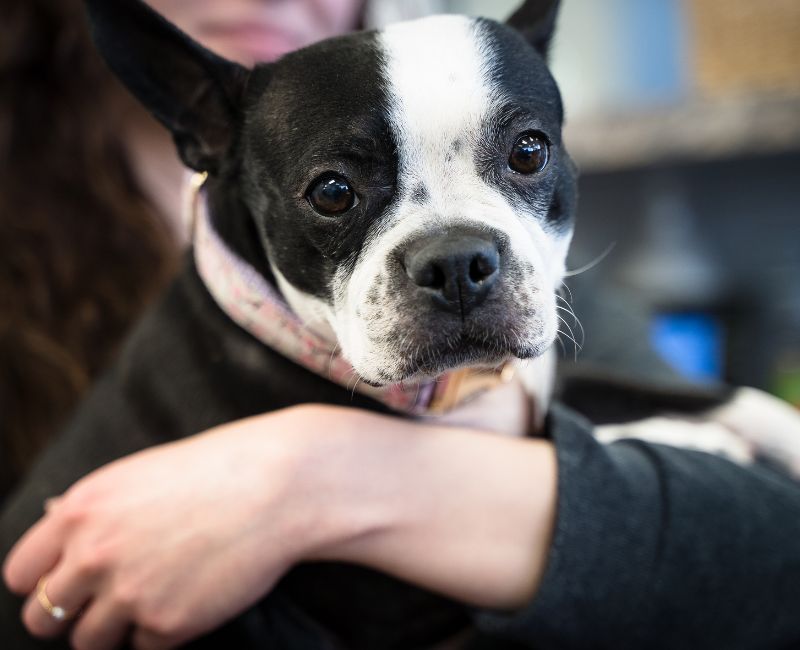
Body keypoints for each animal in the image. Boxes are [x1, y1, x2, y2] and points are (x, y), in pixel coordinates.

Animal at [1, 0, 800, 644]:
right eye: (331, 192)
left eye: (529, 151)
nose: (456, 261)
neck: (461, 394)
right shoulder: (413, 610)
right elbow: (570, 439)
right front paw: (691, 441)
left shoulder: (550, 378)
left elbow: (719, 395)